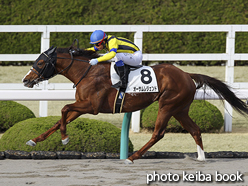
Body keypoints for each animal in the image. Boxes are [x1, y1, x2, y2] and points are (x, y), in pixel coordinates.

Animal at [22, 45, 248, 163]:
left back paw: (133, 156)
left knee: (159, 133)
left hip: (167, 105)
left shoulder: (92, 106)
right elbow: (60, 118)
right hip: (180, 109)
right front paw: (34, 140)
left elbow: (63, 108)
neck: (87, 72)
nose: (26, 80)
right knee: (195, 129)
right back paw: (201, 157)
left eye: (40, 63)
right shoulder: (82, 104)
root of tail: (186, 74)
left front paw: (65, 138)